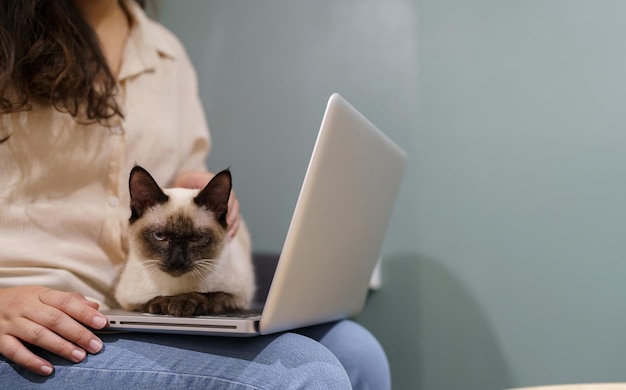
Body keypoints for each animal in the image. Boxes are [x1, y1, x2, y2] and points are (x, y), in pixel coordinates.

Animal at [113, 165, 255, 316]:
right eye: (160, 236)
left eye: (197, 238)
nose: (177, 261)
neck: (177, 289)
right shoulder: (129, 301)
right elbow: (153, 300)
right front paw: (166, 305)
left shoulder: (237, 296)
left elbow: (208, 294)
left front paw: (181, 303)